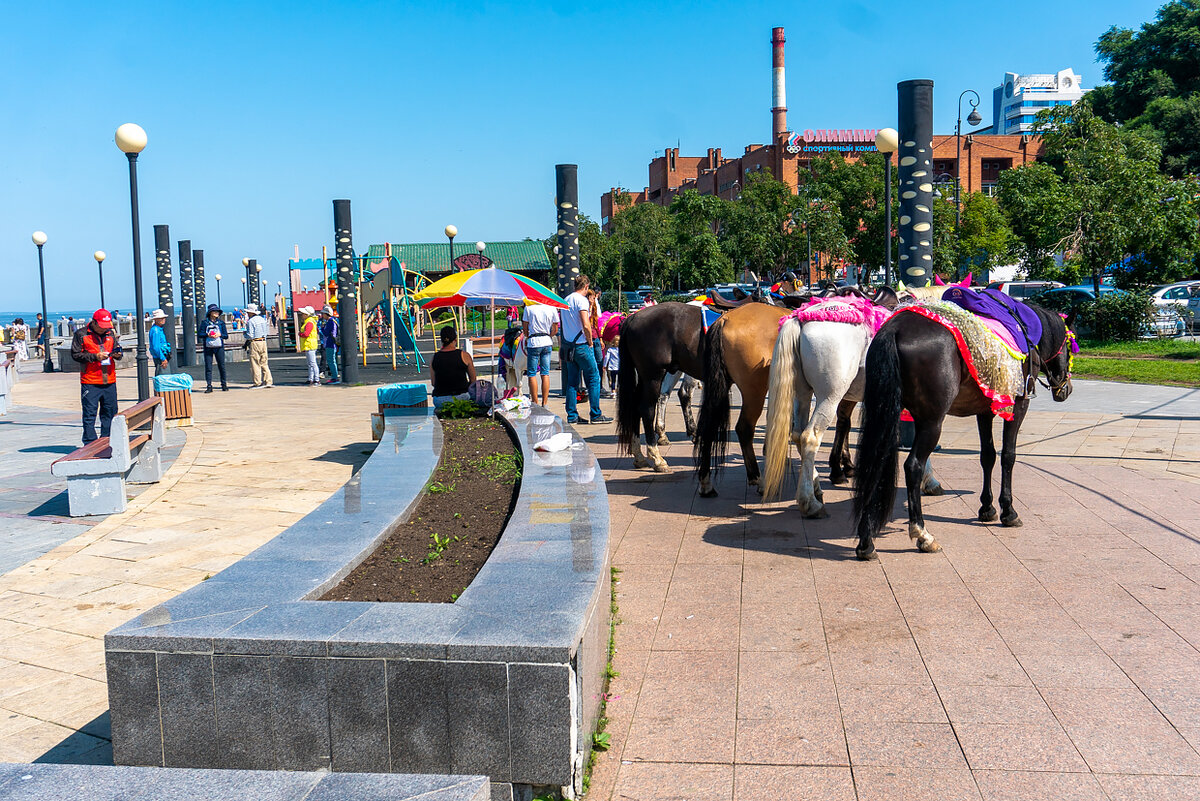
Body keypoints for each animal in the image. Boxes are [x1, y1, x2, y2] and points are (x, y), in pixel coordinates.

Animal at [849, 297, 1075, 561]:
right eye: (1070, 347)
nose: (1065, 388)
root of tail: (894, 329)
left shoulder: (984, 410)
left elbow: (987, 456)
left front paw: (987, 507)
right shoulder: (1018, 406)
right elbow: (1008, 456)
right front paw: (1008, 510)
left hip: (888, 412)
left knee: (875, 462)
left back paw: (866, 541)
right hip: (931, 421)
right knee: (913, 466)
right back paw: (922, 534)